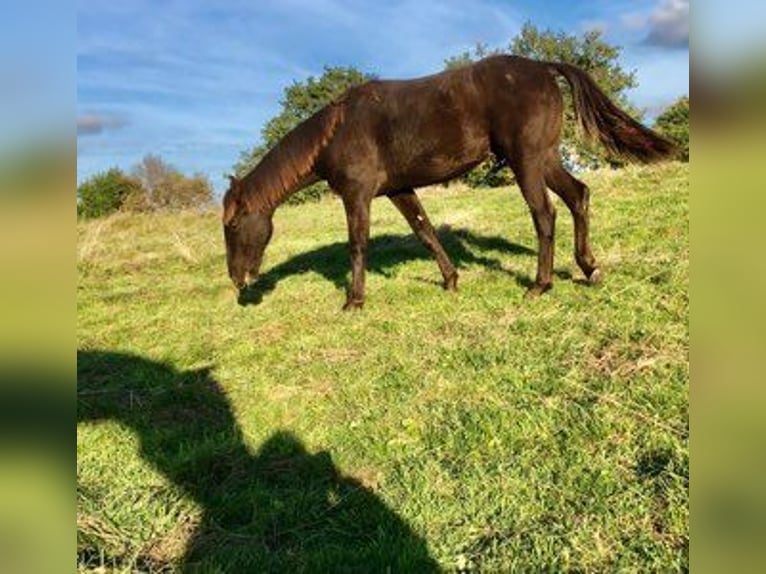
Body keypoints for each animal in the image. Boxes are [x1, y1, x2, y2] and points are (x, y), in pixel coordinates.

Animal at [223, 55, 675, 310]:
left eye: (232, 224)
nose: (238, 280)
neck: (336, 131)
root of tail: (543, 67)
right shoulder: (399, 190)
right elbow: (425, 232)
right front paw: (451, 280)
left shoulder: (357, 195)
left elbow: (358, 245)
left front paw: (354, 300)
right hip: (544, 159)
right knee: (578, 196)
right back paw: (589, 268)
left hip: (527, 162)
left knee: (544, 214)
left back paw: (540, 285)